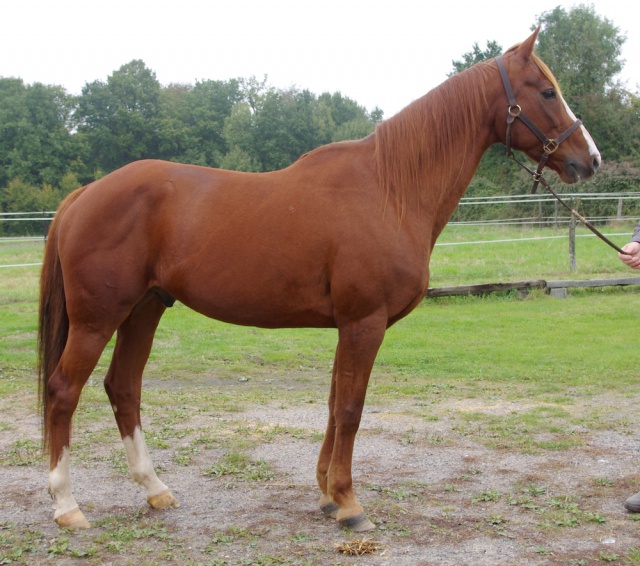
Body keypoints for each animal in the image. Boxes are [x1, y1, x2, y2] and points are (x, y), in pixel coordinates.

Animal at [38, 30, 600, 532]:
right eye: (546, 91)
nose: (589, 159)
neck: (390, 189)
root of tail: (85, 194)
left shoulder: (348, 326)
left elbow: (333, 405)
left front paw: (329, 495)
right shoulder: (364, 323)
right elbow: (350, 408)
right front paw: (350, 505)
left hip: (144, 309)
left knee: (123, 387)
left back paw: (155, 489)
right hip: (97, 319)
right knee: (64, 391)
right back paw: (67, 506)